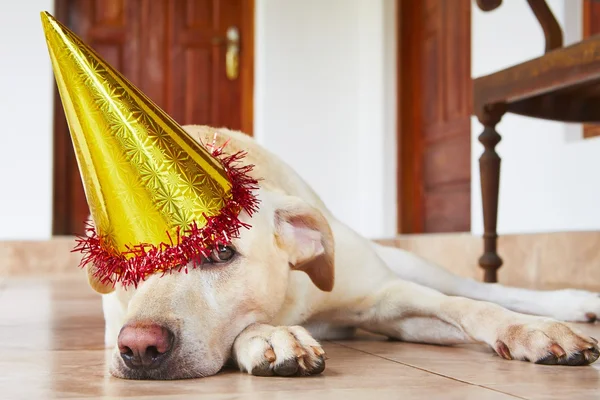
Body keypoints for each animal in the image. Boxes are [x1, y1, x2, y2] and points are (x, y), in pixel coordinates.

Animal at [85, 124, 600, 378]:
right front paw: (271, 337)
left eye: (220, 254)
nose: (140, 348)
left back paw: (574, 304)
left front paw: (531, 331)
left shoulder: (390, 297)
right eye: (126, 266)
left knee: (479, 288)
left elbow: (469, 307)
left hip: (407, 263)